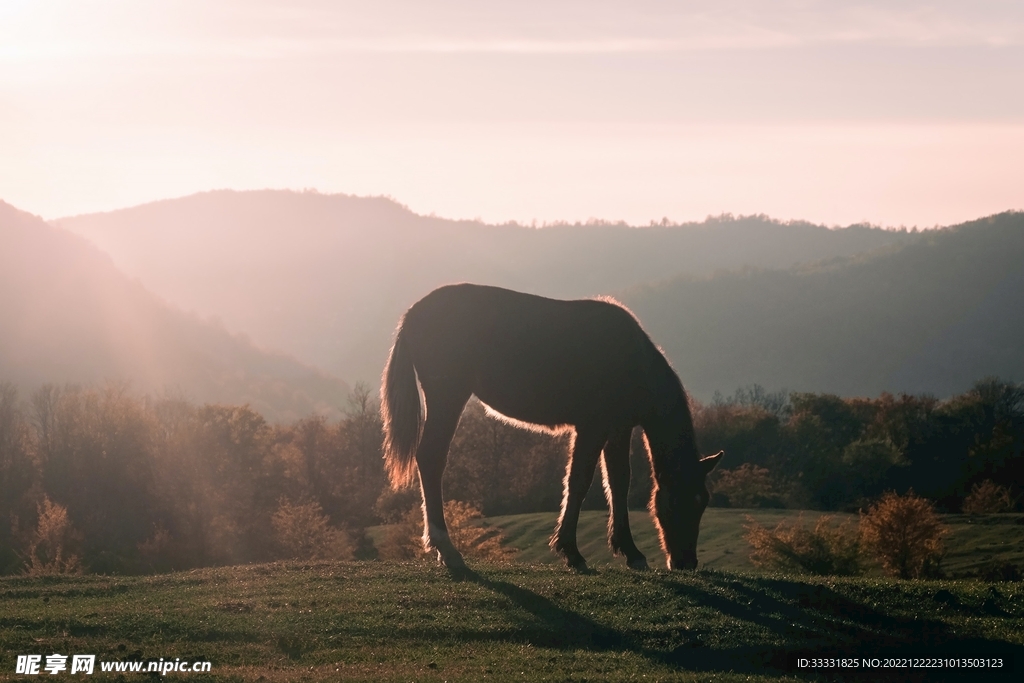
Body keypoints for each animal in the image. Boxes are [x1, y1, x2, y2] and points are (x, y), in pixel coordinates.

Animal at [380, 283, 722, 571]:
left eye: (703, 502)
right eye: (679, 500)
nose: (686, 563)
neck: (631, 358)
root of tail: (412, 314)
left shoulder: (618, 428)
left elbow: (618, 483)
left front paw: (629, 551)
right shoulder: (592, 427)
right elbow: (579, 482)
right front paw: (571, 551)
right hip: (447, 397)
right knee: (431, 458)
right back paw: (446, 549)